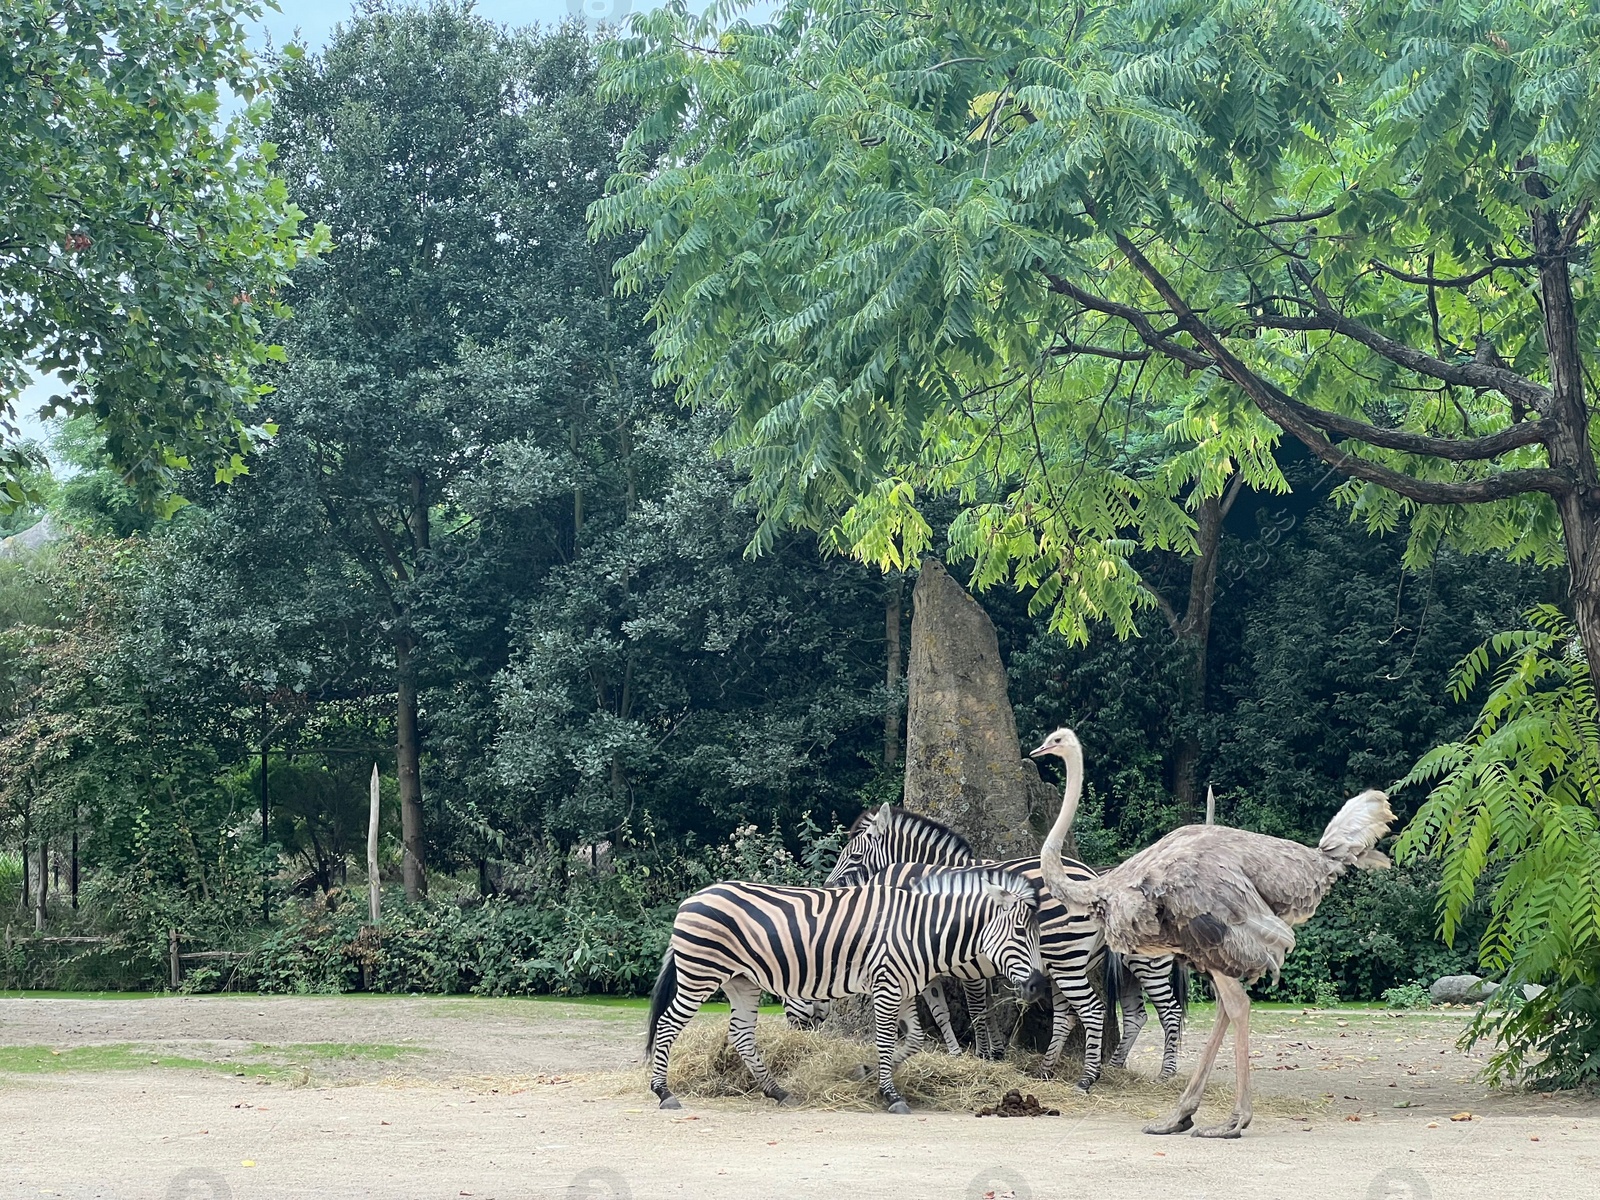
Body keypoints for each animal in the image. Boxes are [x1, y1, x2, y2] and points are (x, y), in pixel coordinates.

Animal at [643, 870, 1056, 1113]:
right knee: (668, 1024)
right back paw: (664, 1092)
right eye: (1021, 932)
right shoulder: (887, 985)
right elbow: (887, 1040)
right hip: (701, 973)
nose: (1038, 987)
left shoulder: (905, 989)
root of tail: (693, 898)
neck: (918, 930)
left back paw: (778, 1091)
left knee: (742, 1036)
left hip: (741, 981)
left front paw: (867, 1073)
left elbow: (914, 1040)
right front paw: (891, 1095)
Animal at [825, 809, 1190, 1088]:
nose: (827, 887)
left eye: (853, 856)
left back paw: (1142, 1076)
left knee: (1150, 1011)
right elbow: (962, 1009)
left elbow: (972, 1010)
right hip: (1079, 963)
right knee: (1111, 1014)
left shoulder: (960, 964)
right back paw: (1065, 1068)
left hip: (1110, 961)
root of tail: (1094, 880)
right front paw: (984, 1053)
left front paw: (982, 1055)